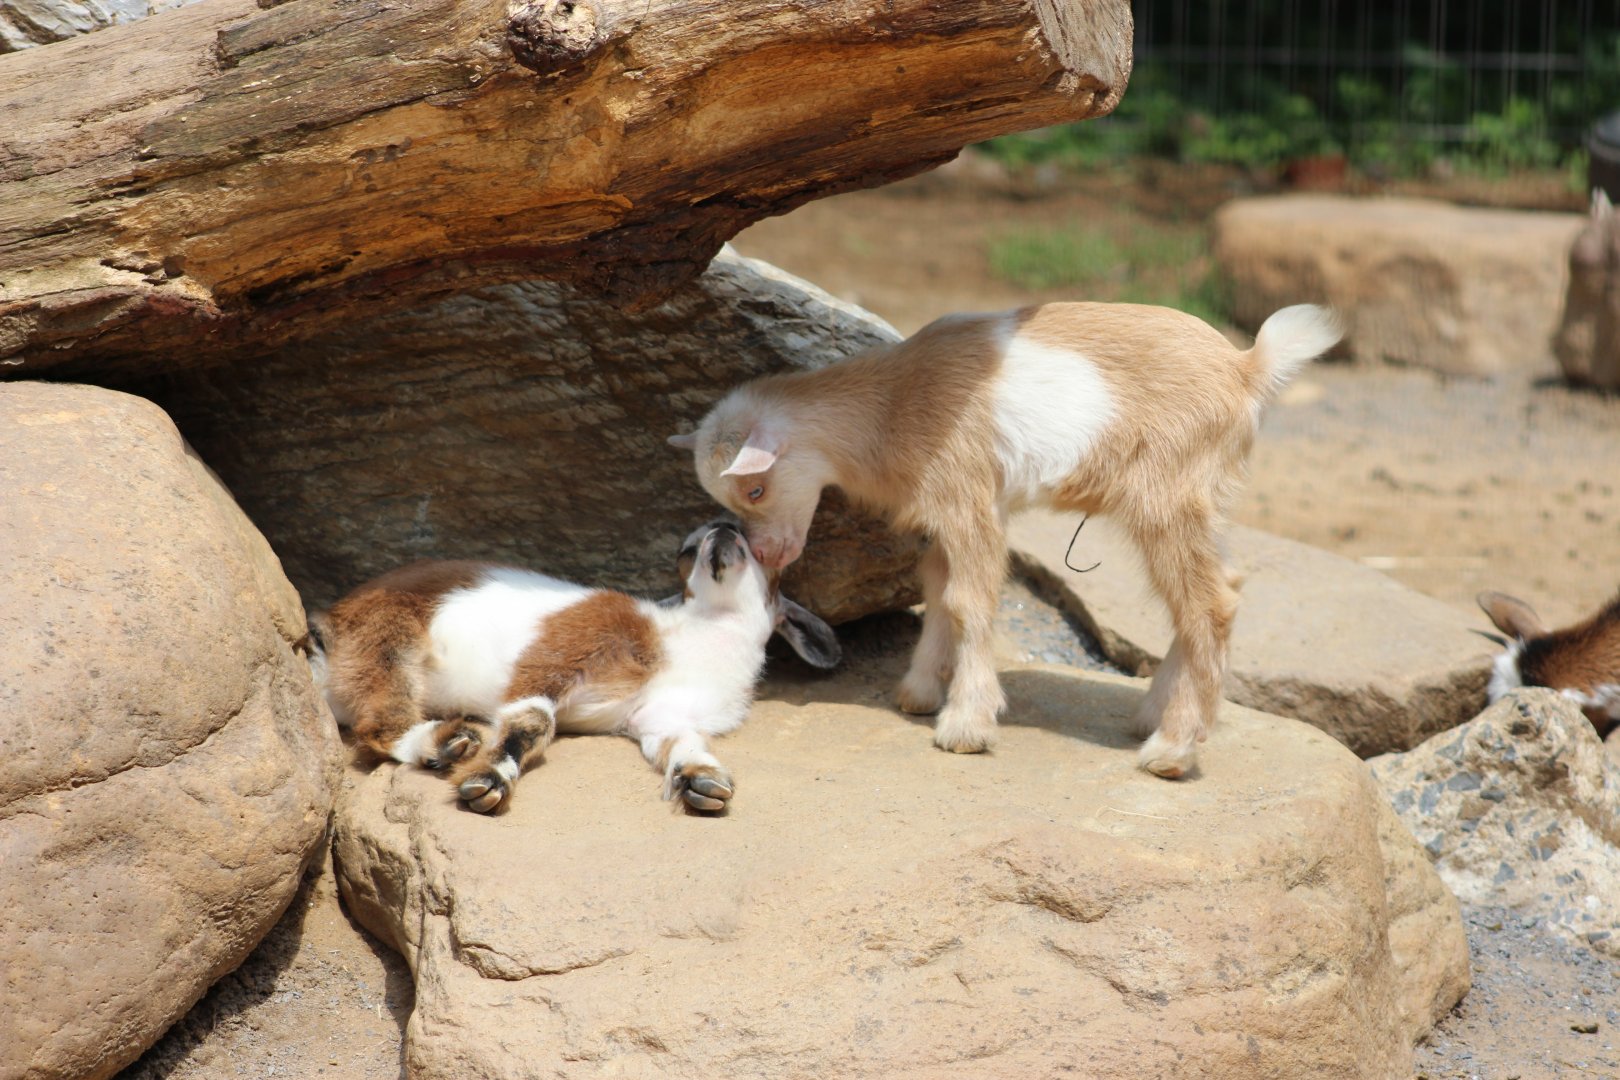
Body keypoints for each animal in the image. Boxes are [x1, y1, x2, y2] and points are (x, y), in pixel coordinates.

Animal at [305, 520, 840, 813]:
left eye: (764, 547)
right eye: (686, 552)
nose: (723, 532)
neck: (684, 641)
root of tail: (326, 630)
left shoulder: (656, 716)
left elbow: (680, 743)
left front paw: (703, 780)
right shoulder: (564, 651)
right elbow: (532, 720)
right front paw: (490, 781)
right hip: (386, 633)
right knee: (378, 720)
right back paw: (447, 744)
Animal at [669, 302, 1341, 778]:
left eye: (755, 489)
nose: (768, 554)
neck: (893, 404)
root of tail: (1247, 368)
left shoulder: (968, 498)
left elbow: (970, 602)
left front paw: (966, 726)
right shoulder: (944, 516)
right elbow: (939, 592)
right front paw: (919, 693)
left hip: (1167, 498)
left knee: (1210, 603)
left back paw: (1172, 751)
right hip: (1198, 504)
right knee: (1215, 591)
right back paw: (1157, 717)